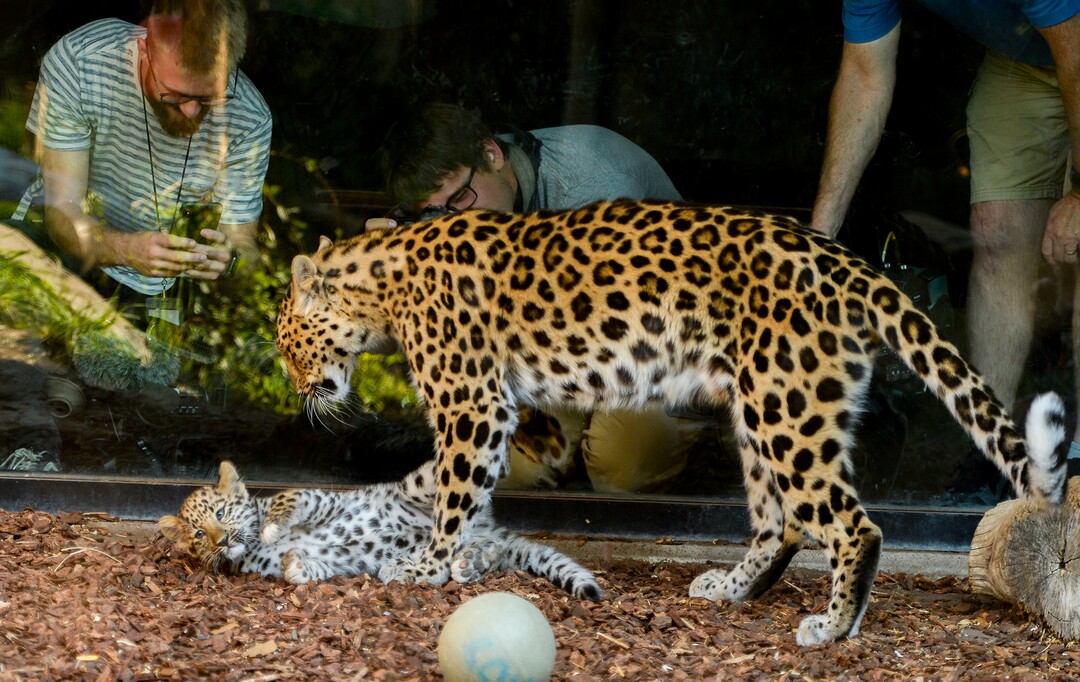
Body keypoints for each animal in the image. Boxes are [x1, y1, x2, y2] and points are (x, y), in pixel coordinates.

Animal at [158, 459, 601, 599]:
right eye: (198, 535)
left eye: (220, 512)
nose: (221, 540)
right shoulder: (328, 560)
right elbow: (303, 567)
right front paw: (294, 566)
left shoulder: (322, 499)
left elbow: (287, 501)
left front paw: (272, 527)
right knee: (488, 550)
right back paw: (469, 563)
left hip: (419, 484)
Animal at [275, 198, 1068, 645]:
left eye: (286, 344)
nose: (300, 391)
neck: (380, 287)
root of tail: (847, 260)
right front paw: (455, 559)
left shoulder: (473, 403)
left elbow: (453, 492)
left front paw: (427, 565)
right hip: (764, 408)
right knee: (782, 521)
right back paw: (733, 589)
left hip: (786, 408)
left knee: (852, 525)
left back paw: (833, 628)